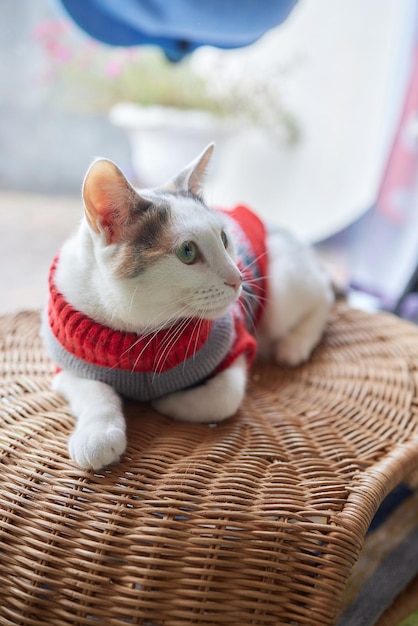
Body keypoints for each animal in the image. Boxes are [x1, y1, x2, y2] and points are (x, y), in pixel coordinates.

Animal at [40, 143, 334, 468]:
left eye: (224, 237)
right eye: (187, 251)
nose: (238, 279)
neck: (142, 332)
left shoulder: (237, 344)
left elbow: (224, 397)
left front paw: (167, 402)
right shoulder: (66, 365)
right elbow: (94, 392)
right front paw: (97, 435)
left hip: (283, 291)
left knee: (323, 296)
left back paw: (294, 345)